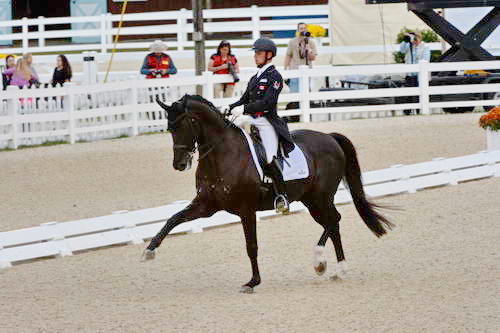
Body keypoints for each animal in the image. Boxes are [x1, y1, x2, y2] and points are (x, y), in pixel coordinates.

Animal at [143, 94, 392, 292]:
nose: (179, 164)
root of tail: (330, 137)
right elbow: (174, 218)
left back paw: (321, 263)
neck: (221, 154)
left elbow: (251, 246)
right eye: (170, 128)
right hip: (311, 200)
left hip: (320, 197)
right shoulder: (207, 205)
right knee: (332, 224)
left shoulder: (246, 209)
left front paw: (253, 282)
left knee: (334, 221)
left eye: (186, 124)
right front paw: (149, 250)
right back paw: (337, 270)